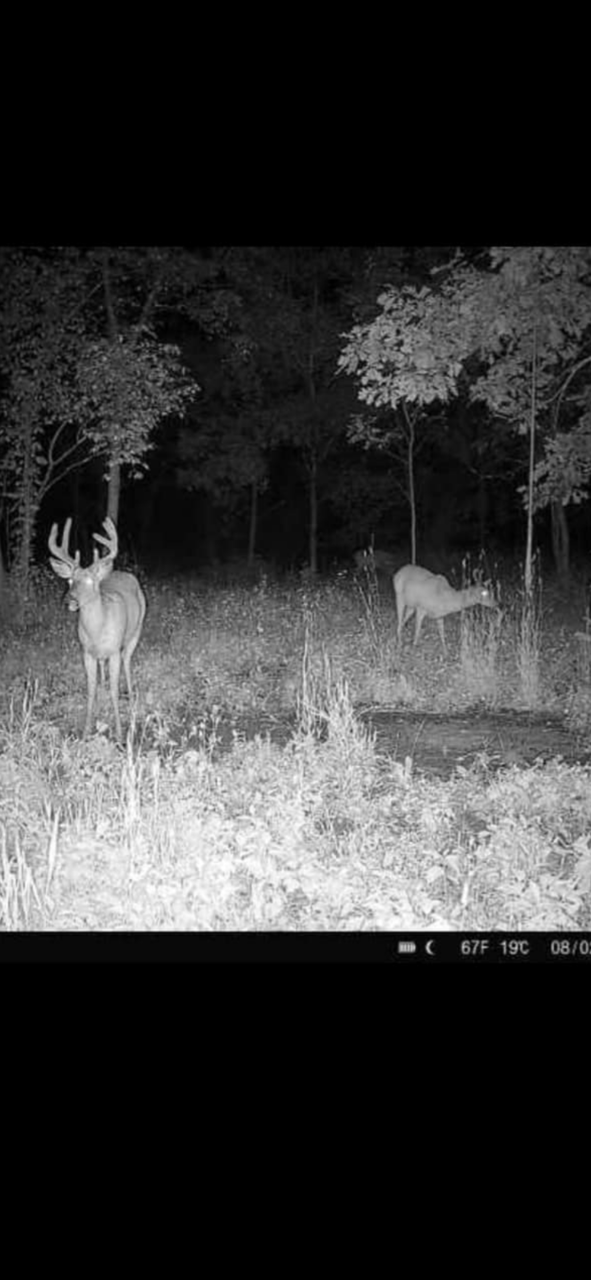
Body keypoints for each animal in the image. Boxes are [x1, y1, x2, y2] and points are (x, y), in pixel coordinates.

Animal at [48, 516, 146, 742]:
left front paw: (119, 734)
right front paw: (86, 731)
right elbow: (91, 691)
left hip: (135, 631)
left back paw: (131, 695)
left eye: (90, 581)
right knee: (103, 671)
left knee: (128, 661)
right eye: (69, 580)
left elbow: (114, 691)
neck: (97, 631)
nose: (69, 599)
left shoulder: (114, 651)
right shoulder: (86, 652)